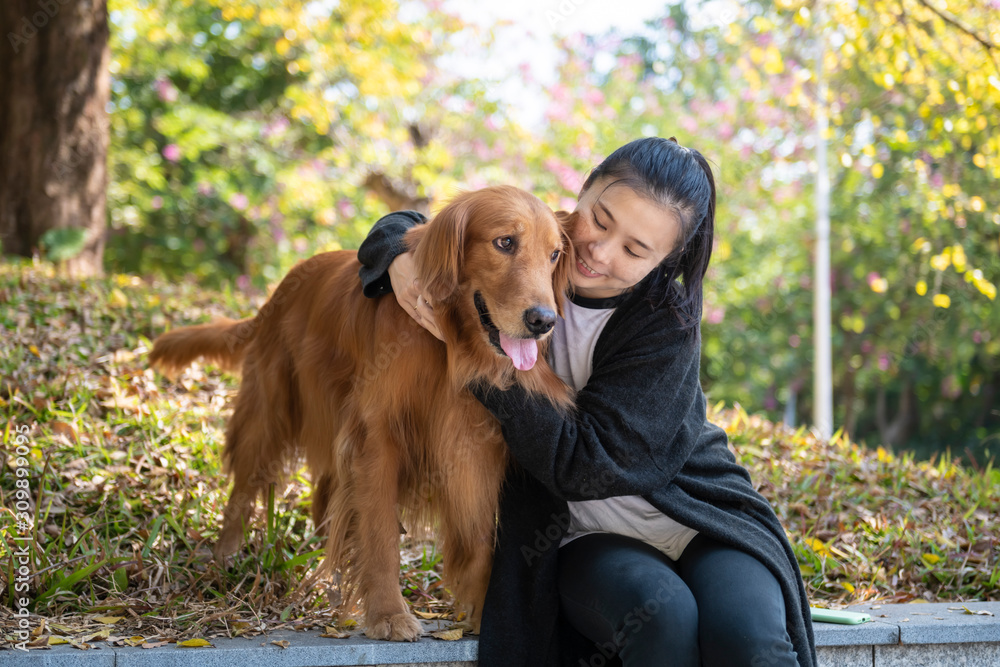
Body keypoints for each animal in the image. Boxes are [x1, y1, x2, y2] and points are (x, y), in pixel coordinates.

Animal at [146, 185, 576, 640]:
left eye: (554, 255)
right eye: (505, 242)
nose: (544, 321)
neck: (448, 341)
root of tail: (283, 286)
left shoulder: (470, 440)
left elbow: (477, 535)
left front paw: (481, 611)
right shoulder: (378, 438)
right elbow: (381, 533)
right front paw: (387, 613)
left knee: (325, 498)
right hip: (271, 411)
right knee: (245, 487)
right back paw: (224, 557)